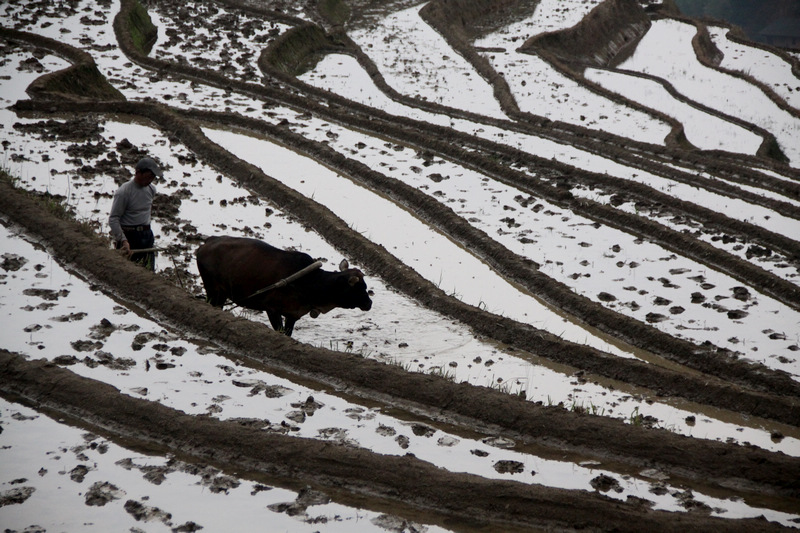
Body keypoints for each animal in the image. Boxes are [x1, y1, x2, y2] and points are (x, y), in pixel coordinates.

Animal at [195, 236, 374, 334]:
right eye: (360, 288)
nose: (369, 303)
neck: (310, 283)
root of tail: (209, 241)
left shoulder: (292, 315)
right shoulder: (272, 309)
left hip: (221, 293)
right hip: (212, 289)